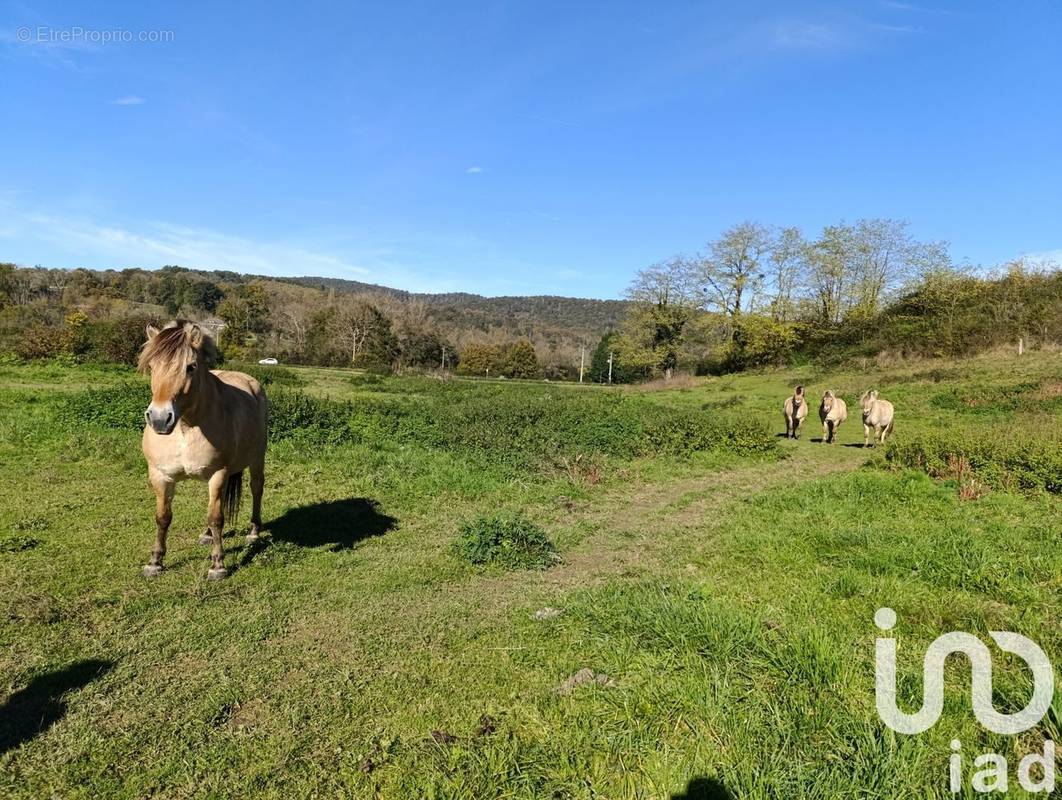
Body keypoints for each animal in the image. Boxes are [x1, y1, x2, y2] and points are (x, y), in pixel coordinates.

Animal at [138, 320, 267, 582]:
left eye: (191, 367)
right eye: (152, 366)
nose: (159, 419)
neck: (185, 428)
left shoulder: (218, 473)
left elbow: (217, 518)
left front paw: (218, 566)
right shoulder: (160, 476)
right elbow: (162, 517)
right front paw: (155, 562)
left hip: (257, 459)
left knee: (256, 488)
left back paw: (253, 531)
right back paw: (207, 535)